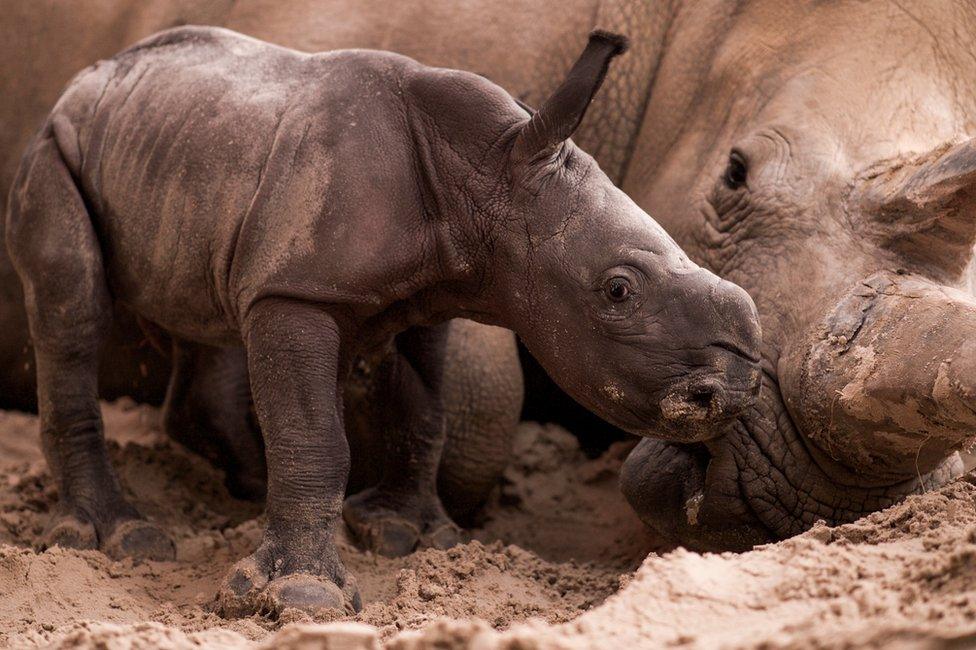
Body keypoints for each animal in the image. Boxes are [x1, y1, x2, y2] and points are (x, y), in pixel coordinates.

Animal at [5, 25, 764, 612]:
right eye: (618, 290)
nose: (731, 390)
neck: (486, 174)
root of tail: (88, 78)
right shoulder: (298, 291)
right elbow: (315, 435)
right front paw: (299, 597)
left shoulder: (430, 294)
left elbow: (428, 411)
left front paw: (411, 535)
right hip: (53, 147)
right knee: (73, 311)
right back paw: (122, 539)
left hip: (189, 159)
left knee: (211, 308)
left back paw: (241, 489)